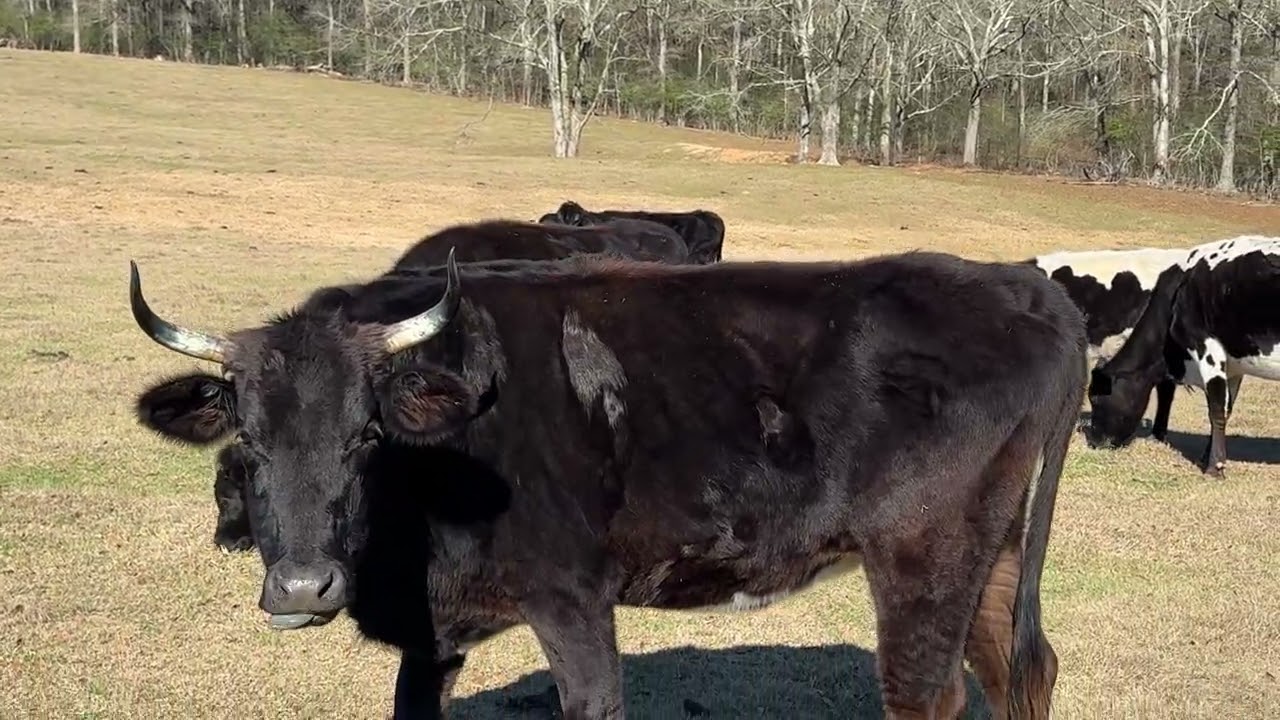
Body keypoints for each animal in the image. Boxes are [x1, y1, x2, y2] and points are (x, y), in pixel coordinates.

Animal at [128, 249, 1086, 720]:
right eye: (248, 441)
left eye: (367, 437)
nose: (302, 586)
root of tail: (1022, 285)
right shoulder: (432, 637)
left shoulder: (573, 596)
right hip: (992, 552)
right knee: (1019, 672)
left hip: (925, 555)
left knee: (927, 694)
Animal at [1084, 235, 1280, 476]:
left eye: (1095, 398)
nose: (1094, 441)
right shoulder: (1234, 366)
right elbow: (1226, 407)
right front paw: (1207, 456)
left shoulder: (1206, 346)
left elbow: (1216, 407)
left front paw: (1214, 467)